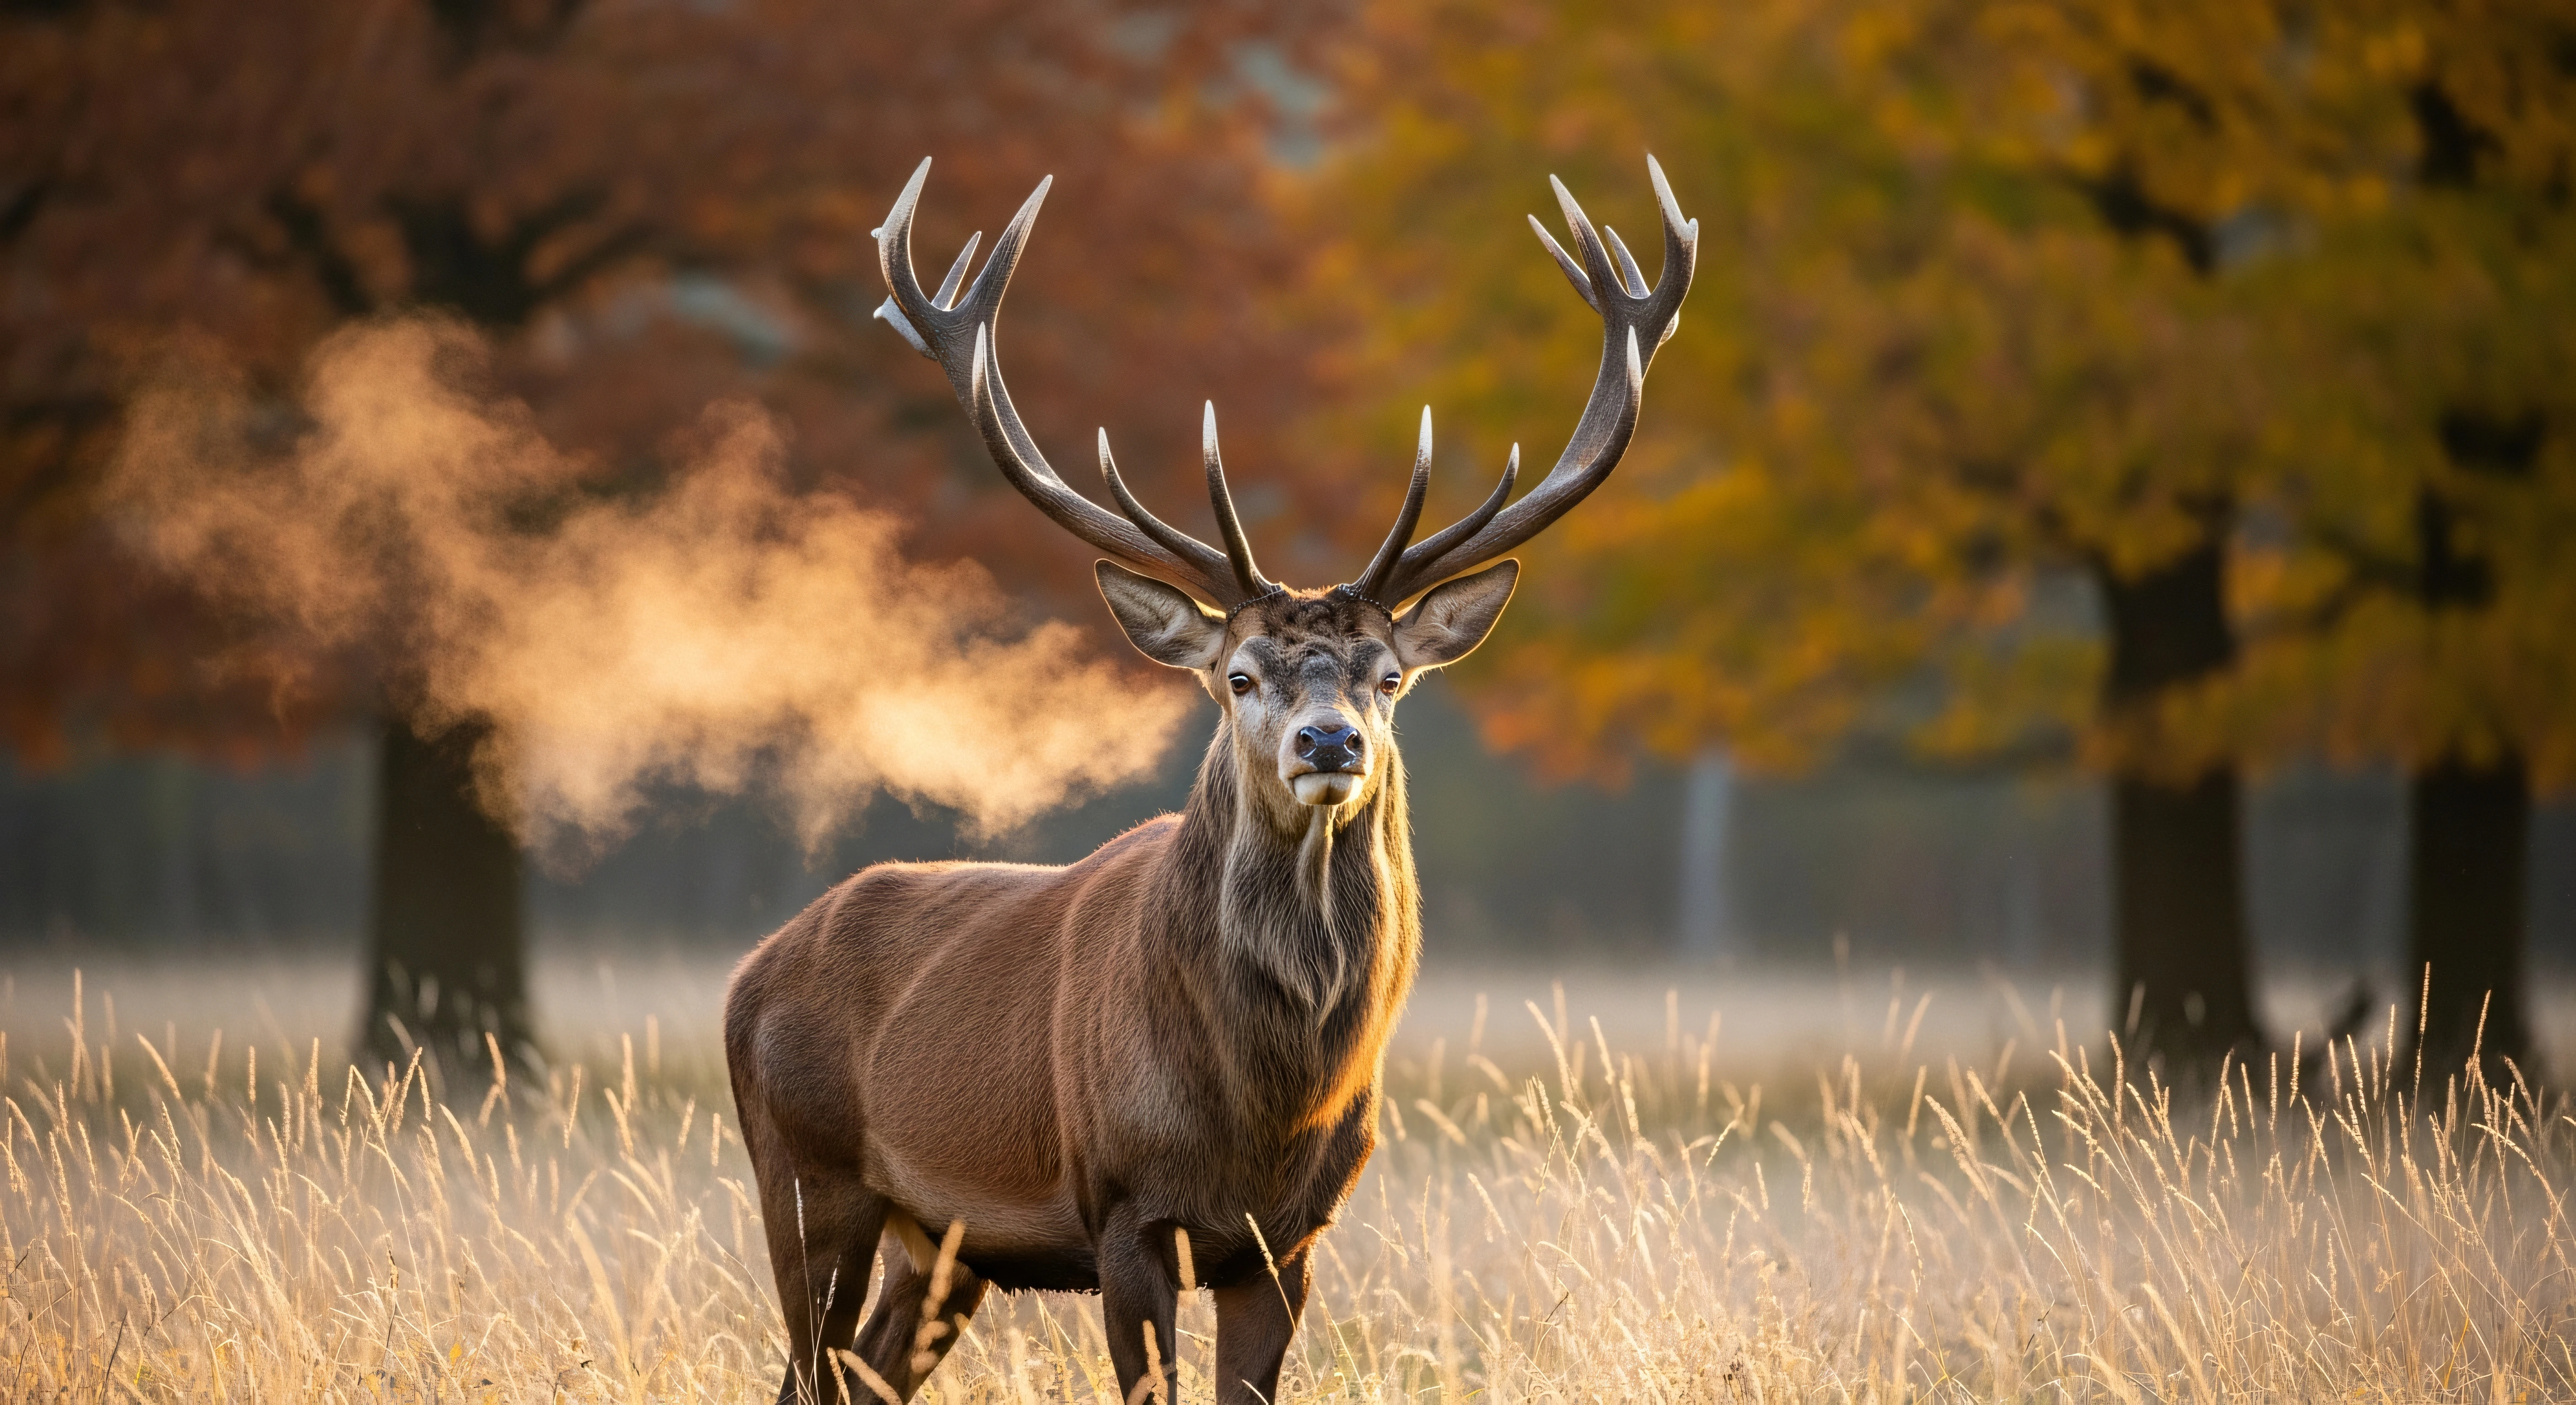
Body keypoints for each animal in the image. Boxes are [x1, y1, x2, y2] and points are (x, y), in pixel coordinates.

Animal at [724, 153, 1695, 1405]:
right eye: (1238, 674)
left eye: (1388, 677)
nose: (1327, 743)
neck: (1260, 1110)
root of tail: (750, 970)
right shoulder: (1123, 1210)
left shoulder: (1290, 1240)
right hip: (806, 1177)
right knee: (805, 1368)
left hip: (937, 1243)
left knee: (865, 1370)